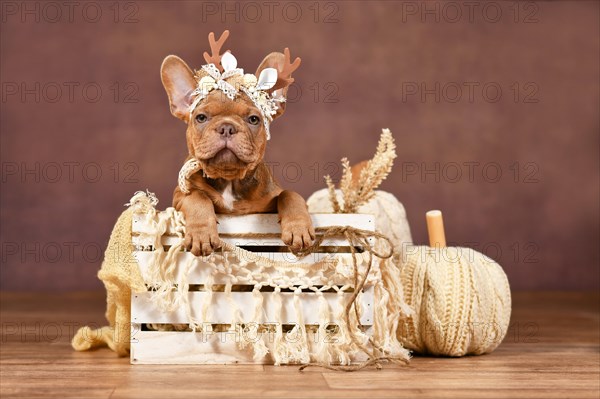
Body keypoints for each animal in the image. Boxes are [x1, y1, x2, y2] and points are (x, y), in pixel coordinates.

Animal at [162, 30, 316, 256]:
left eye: (253, 119)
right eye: (201, 117)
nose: (227, 127)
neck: (230, 180)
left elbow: (289, 194)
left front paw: (299, 228)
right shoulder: (181, 194)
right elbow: (198, 198)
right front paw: (201, 234)